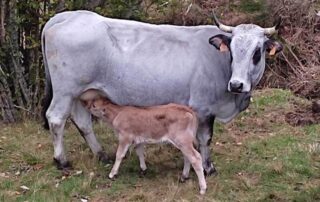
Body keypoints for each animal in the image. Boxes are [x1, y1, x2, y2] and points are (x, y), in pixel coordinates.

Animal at [42, 10, 282, 174]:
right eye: (231, 50)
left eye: (257, 52)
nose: (237, 85)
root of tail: (68, 15)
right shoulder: (203, 108)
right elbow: (205, 139)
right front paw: (208, 167)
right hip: (65, 91)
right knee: (56, 119)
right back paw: (61, 160)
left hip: (79, 93)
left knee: (82, 122)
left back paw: (102, 155)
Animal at [80, 90, 208, 194]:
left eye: (94, 105)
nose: (85, 104)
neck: (117, 114)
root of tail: (188, 109)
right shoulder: (138, 138)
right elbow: (140, 152)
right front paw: (143, 169)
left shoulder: (125, 137)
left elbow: (119, 155)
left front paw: (112, 173)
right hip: (184, 141)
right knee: (187, 157)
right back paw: (184, 176)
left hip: (182, 140)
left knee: (196, 158)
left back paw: (202, 188)